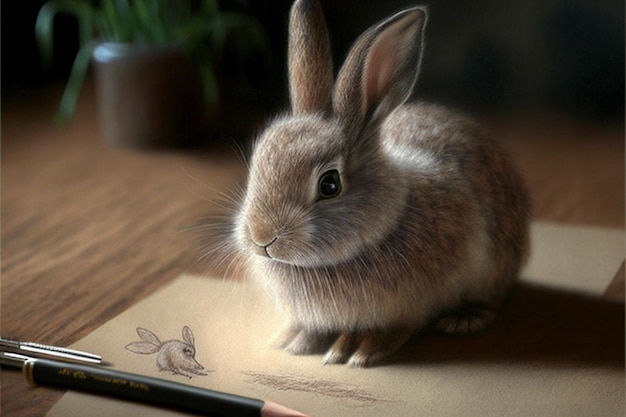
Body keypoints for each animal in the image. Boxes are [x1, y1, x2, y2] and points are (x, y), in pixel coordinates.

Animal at [227, 0, 528, 368]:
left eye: (329, 184)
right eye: (257, 162)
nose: (261, 237)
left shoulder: (414, 305)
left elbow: (395, 328)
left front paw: (358, 350)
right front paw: (294, 340)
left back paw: (465, 319)